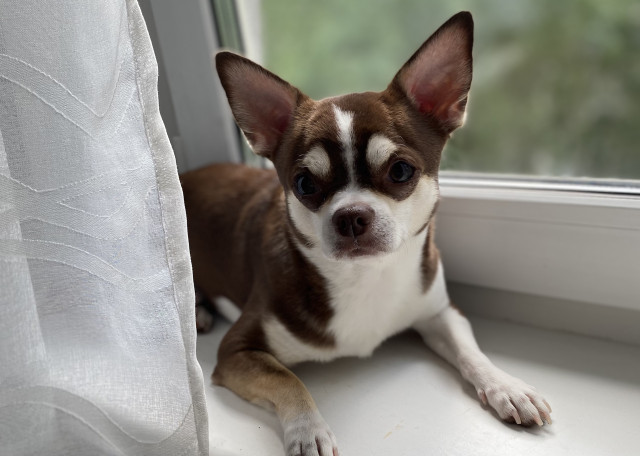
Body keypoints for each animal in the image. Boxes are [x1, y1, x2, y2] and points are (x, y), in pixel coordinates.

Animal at [181, 11, 552, 456]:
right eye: (304, 184)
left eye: (400, 171)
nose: (351, 215)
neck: (365, 277)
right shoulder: (237, 350)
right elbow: (288, 380)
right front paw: (308, 430)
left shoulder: (440, 312)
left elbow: (470, 351)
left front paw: (505, 385)